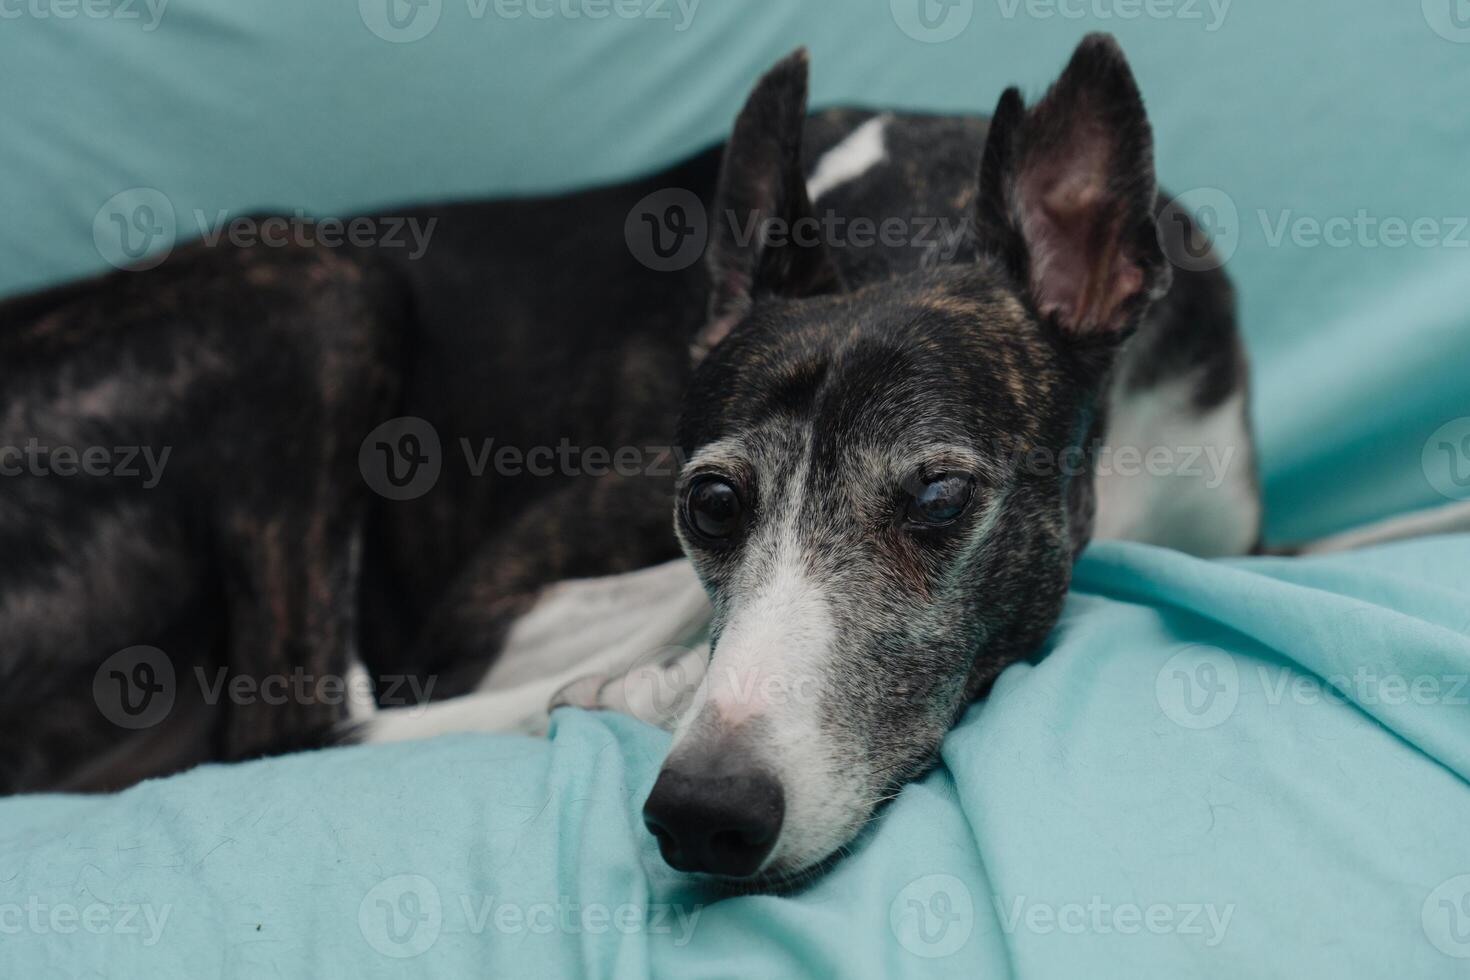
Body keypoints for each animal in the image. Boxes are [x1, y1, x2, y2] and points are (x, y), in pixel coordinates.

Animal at [5, 32, 1464, 887]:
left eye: (939, 497)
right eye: (708, 502)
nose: (705, 816)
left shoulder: (1240, 524)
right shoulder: (495, 608)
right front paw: (643, 682)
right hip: (311, 277)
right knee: (293, 718)